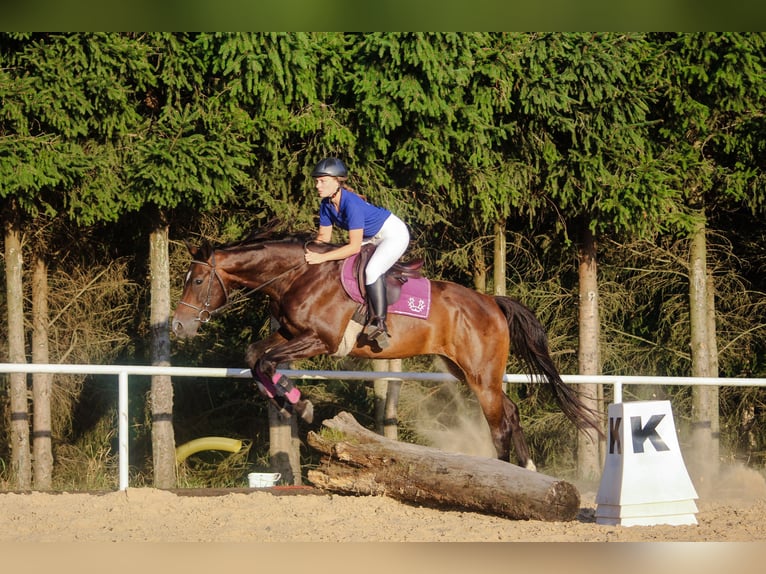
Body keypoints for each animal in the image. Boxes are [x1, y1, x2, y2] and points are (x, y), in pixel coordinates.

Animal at [171, 232, 604, 470]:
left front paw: (301, 404)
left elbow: (264, 360)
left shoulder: (321, 340)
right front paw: (293, 401)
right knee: (510, 412)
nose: (178, 326)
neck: (299, 274)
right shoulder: (291, 334)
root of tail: (491, 302)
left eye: (197, 281)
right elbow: (254, 358)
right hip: (466, 371)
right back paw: (528, 470)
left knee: (499, 423)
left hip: (481, 375)